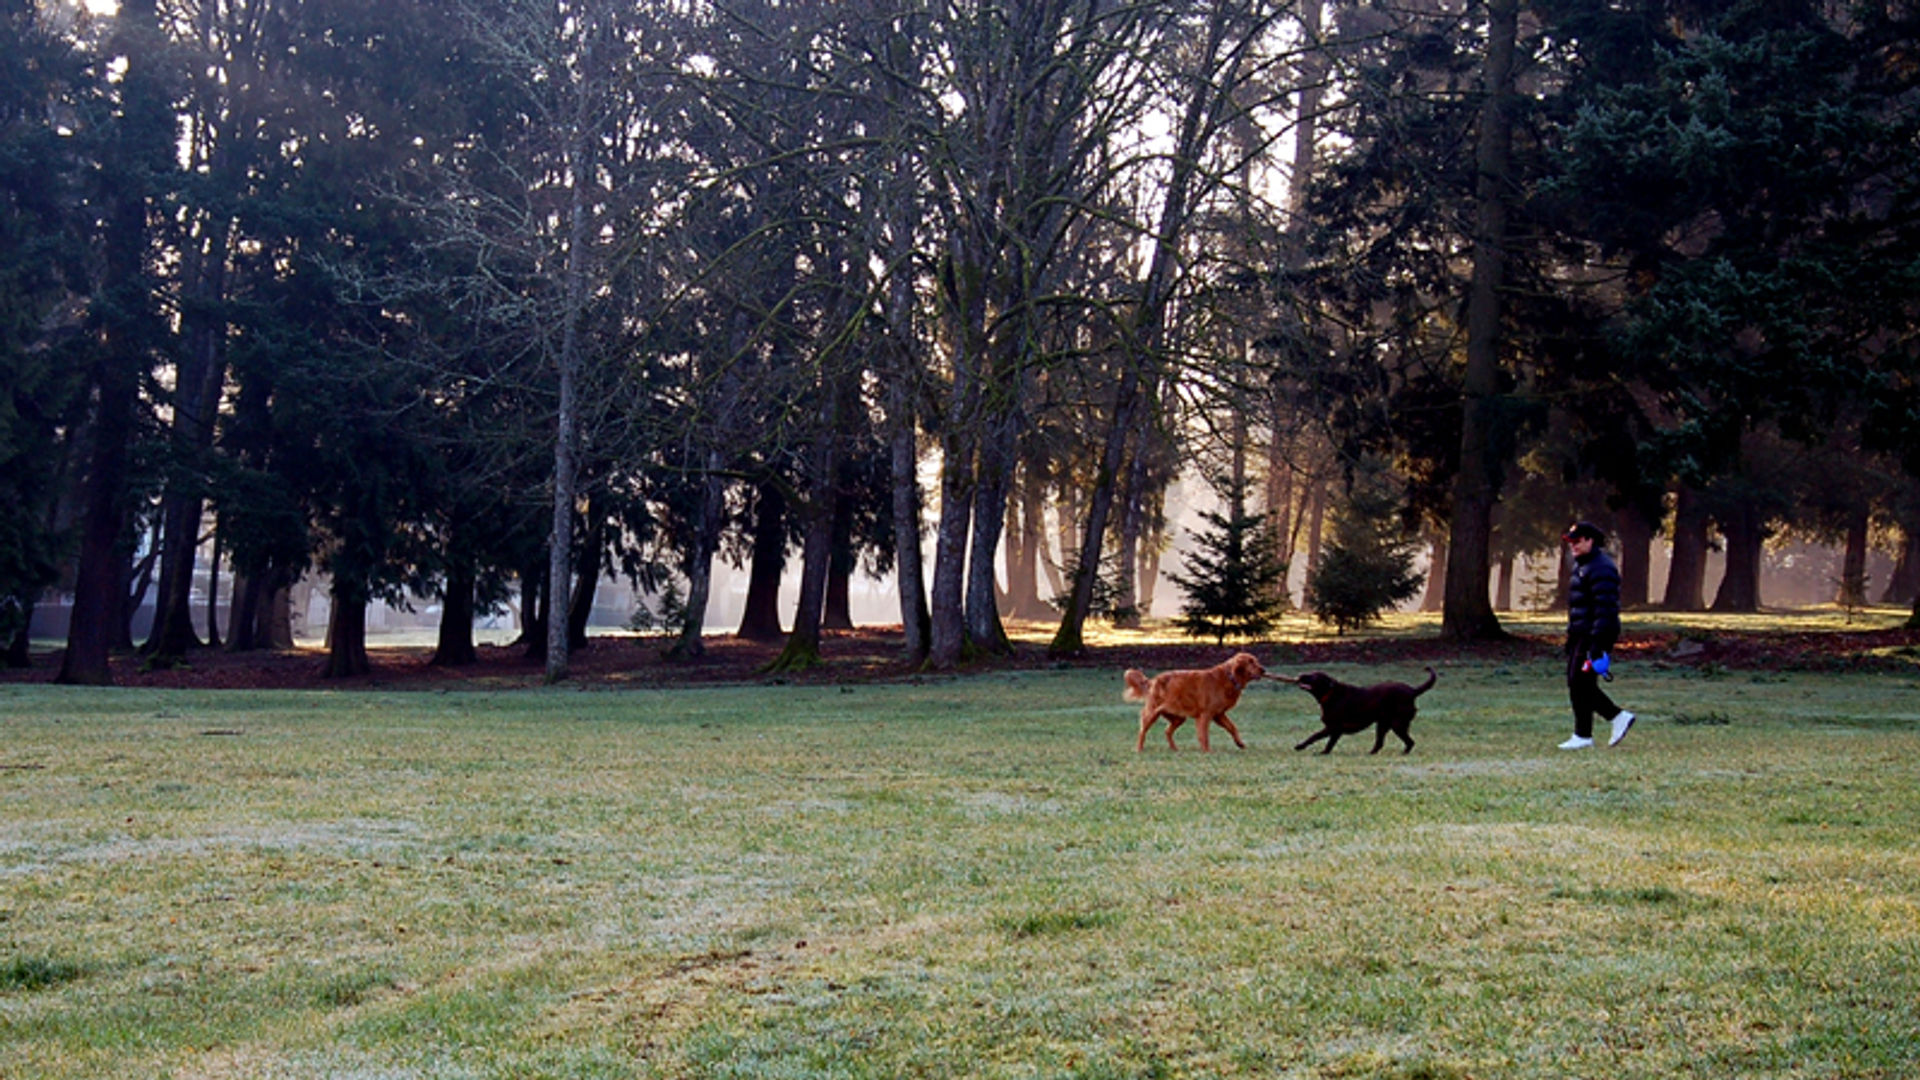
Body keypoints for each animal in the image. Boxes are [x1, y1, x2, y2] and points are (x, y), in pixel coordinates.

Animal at [1121, 645, 1267, 749]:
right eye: (1250, 662)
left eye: (1256, 661)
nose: (1263, 669)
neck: (1229, 677)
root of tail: (1153, 680)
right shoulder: (1206, 714)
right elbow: (1204, 736)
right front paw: (1207, 751)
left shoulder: (1219, 715)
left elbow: (1232, 727)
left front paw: (1240, 743)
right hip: (1152, 713)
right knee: (1142, 731)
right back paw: (1139, 749)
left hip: (1179, 717)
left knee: (1167, 731)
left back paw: (1175, 749)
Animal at [1282, 661, 1436, 753]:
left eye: (1314, 676)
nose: (1300, 675)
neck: (1331, 694)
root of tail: (1413, 691)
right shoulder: (1335, 730)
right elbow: (1327, 742)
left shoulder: (1334, 728)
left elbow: (1316, 737)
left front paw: (1304, 747)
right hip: (1383, 724)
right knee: (1380, 743)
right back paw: (1371, 753)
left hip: (1397, 724)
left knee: (1410, 742)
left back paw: (1403, 753)